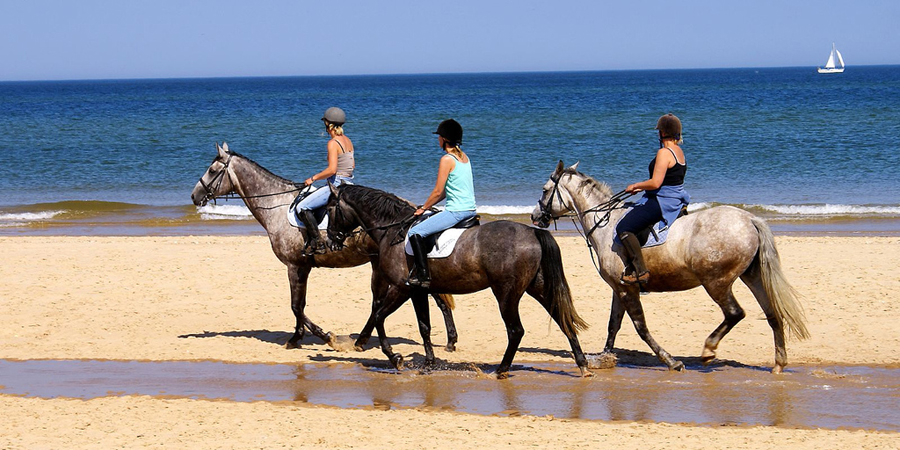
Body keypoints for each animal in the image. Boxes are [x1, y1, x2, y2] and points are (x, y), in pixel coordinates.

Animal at [190, 144, 458, 352]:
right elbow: (300, 304)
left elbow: (296, 305)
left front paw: (322, 337)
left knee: (395, 301)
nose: (194, 196)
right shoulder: (303, 267)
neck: (276, 204)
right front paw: (298, 337)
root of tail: (414, 214)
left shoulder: (294, 266)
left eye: (212, 170)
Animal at [324, 185, 592, 378]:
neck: (393, 232)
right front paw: (429, 362)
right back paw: (582, 365)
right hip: (538, 288)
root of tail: (533, 232)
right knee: (563, 320)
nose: (332, 239)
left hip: (506, 294)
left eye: (329, 209)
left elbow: (380, 316)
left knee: (516, 330)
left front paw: (395, 358)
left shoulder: (402, 288)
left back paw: (502, 369)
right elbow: (424, 326)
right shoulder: (418, 291)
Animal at [532, 162, 812, 372]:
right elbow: (614, 324)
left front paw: (671, 361)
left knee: (735, 313)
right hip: (751, 277)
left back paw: (709, 350)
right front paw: (603, 358)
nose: (536, 216)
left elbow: (641, 327)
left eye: (545, 190)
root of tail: (750, 219)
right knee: (773, 313)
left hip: (717, 282)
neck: (606, 223)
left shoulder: (627, 289)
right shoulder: (619, 287)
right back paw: (779, 363)